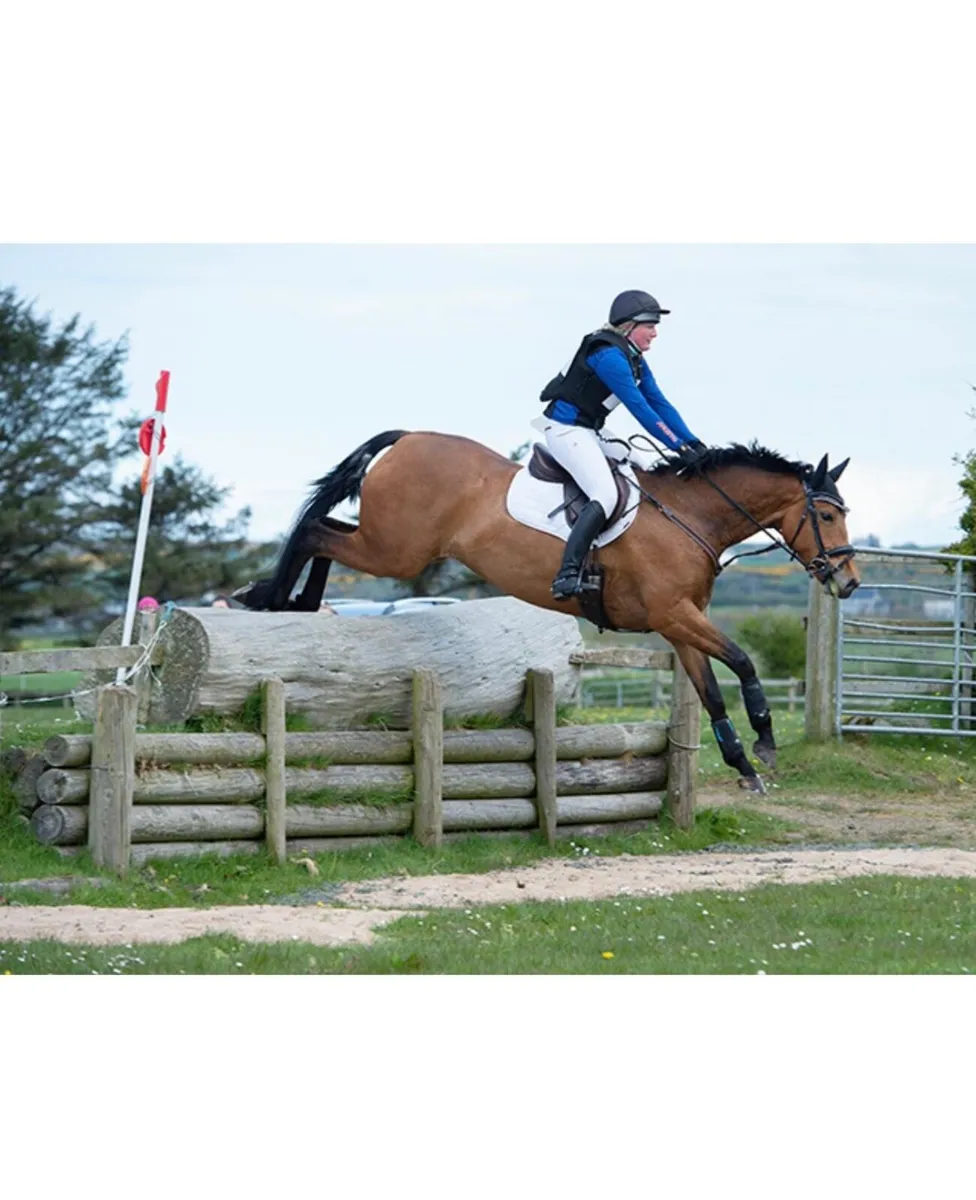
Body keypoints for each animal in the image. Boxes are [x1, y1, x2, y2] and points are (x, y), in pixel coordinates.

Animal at [235, 431, 860, 792]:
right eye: (828, 516)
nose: (849, 581)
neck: (689, 515)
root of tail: (409, 437)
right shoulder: (675, 614)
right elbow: (745, 663)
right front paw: (766, 743)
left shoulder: (678, 624)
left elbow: (711, 692)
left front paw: (745, 767)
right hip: (397, 547)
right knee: (317, 531)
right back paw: (274, 598)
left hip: (392, 544)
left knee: (326, 529)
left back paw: (288, 601)